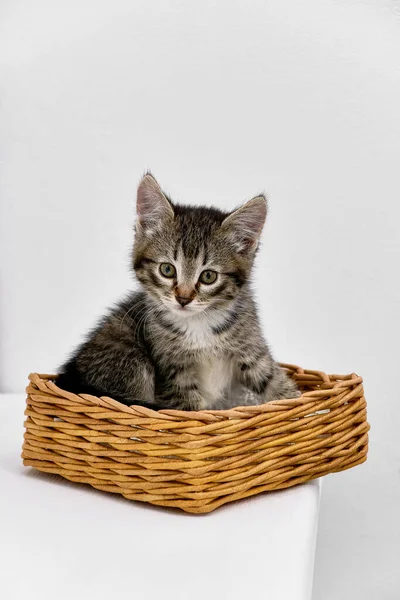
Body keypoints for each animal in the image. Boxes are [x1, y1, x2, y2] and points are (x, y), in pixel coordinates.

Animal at [57, 171, 298, 410]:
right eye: (167, 270)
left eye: (208, 276)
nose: (183, 298)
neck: (199, 325)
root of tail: (71, 372)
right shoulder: (173, 372)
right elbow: (190, 409)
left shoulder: (251, 348)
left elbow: (276, 382)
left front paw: (295, 402)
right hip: (130, 357)